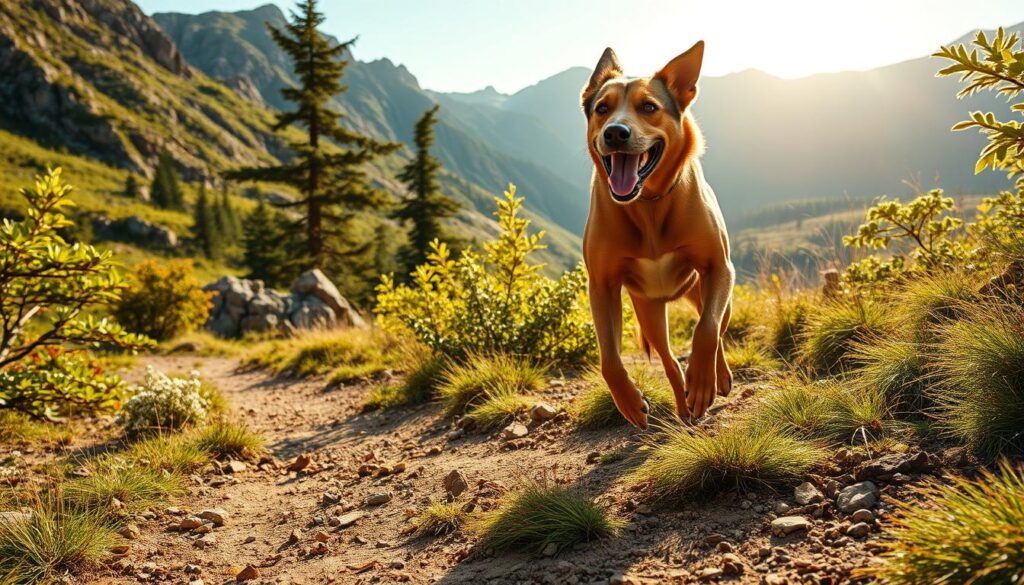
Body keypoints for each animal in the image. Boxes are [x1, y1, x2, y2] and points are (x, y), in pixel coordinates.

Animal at [581, 38, 733, 428]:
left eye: (649, 107)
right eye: (602, 109)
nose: (615, 132)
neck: (648, 204)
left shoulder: (719, 267)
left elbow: (706, 331)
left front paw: (703, 382)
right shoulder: (602, 286)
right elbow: (609, 359)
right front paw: (629, 401)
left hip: (712, 292)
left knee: (716, 325)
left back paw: (717, 378)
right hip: (649, 310)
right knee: (668, 361)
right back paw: (683, 408)